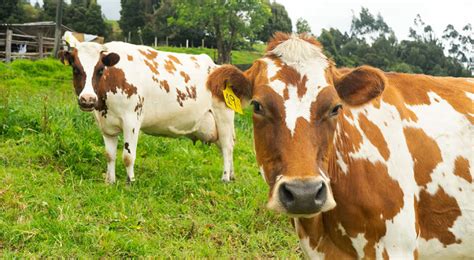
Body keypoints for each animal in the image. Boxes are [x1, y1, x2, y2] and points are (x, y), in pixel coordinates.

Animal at [59, 41, 237, 183]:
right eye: (75, 69)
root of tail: (217, 66)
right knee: (226, 147)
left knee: (227, 147)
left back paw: (225, 178)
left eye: (100, 70)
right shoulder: (106, 125)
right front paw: (110, 181)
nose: (87, 99)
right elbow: (109, 155)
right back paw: (232, 175)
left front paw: (130, 182)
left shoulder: (132, 120)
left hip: (224, 118)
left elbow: (128, 156)